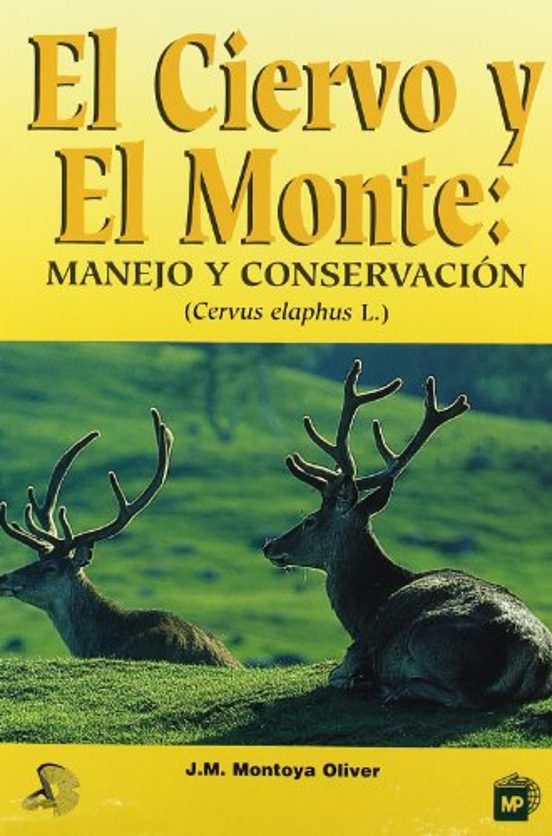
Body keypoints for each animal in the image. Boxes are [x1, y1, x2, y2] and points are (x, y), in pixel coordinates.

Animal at [263, 360, 552, 707]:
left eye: (309, 520)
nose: (269, 545)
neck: (362, 611)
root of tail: (534, 654)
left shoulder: (359, 648)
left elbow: (334, 674)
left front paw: (357, 680)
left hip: (429, 641)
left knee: (460, 696)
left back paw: (388, 688)